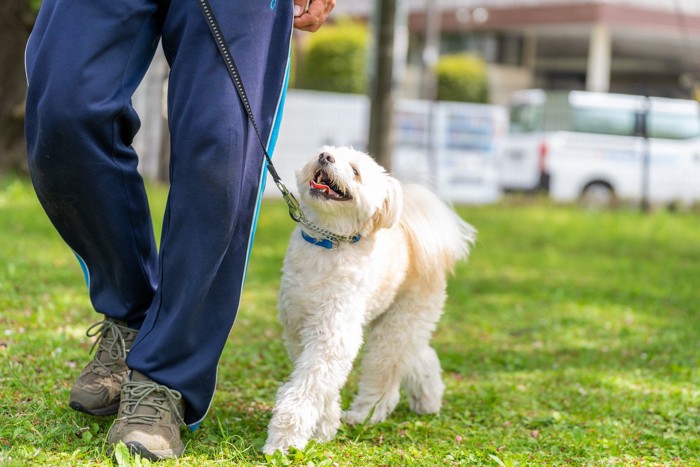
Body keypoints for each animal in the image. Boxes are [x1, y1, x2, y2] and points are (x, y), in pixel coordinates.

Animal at [262, 147, 476, 458]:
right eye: (326, 151)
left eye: (355, 171)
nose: (325, 157)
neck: (328, 243)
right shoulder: (298, 329)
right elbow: (322, 383)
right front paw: (324, 426)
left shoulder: (333, 333)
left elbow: (308, 388)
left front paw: (285, 440)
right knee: (418, 354)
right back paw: (428, 398)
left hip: (399, 323)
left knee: (387, 370)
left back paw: (365, 414)